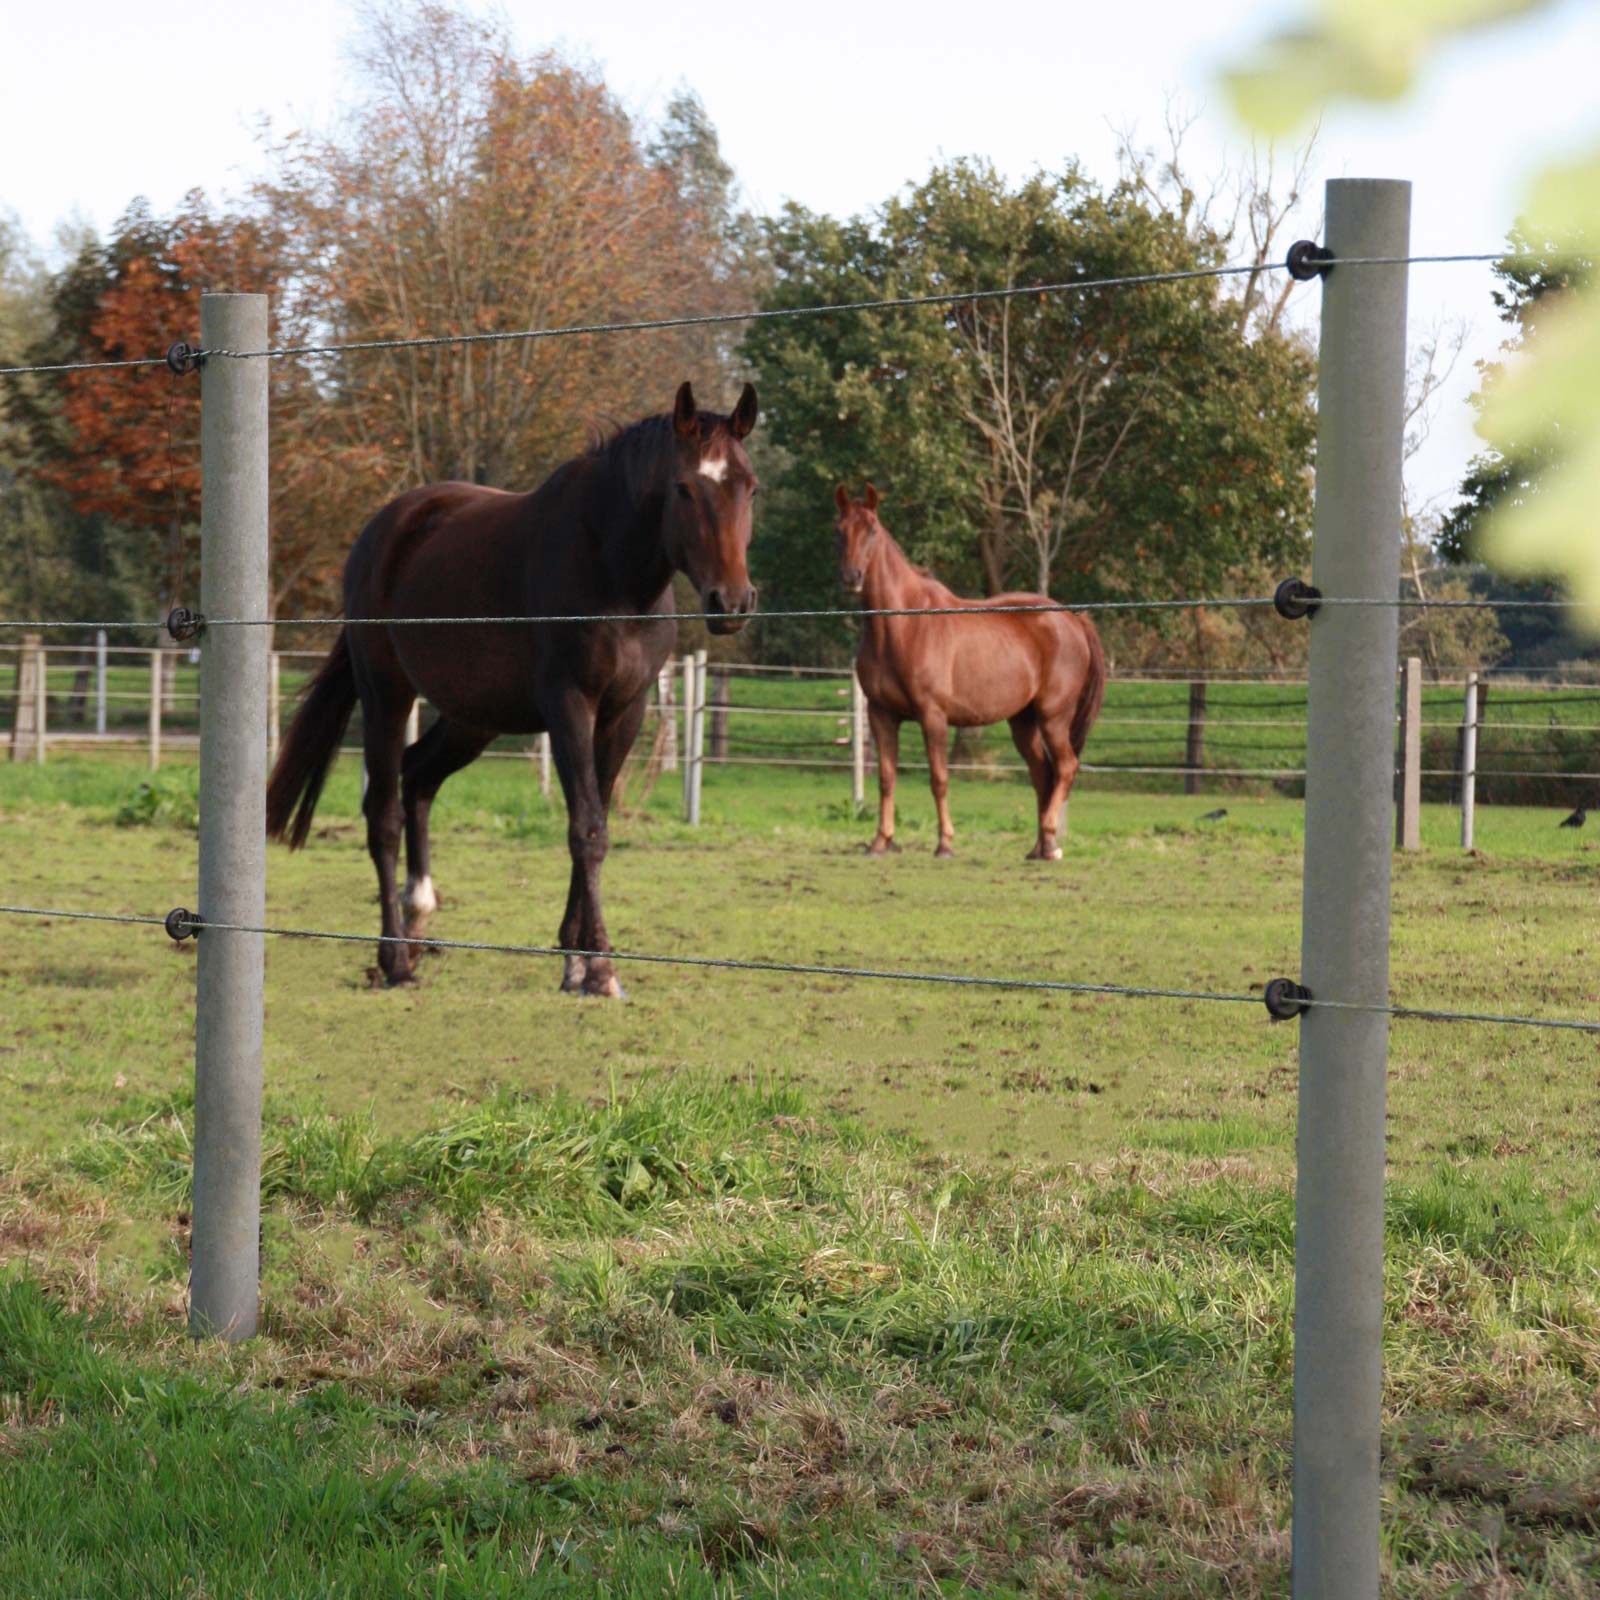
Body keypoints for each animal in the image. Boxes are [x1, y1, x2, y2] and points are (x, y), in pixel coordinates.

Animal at [265, 380, 758, 992]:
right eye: (685, 488)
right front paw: (600, 968)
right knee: (383, 813)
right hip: (386, 694)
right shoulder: (569, 706)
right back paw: (395, 959)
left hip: (471, 718)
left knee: (418, 777)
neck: (612, 571)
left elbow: (595, 819)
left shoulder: (625, 712)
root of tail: (382, 531)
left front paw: (574, 959)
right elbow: (587, 828)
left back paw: (419, 912)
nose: (731, 602)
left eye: (749, 487)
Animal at [832, 483, 1107, 864]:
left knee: (1065, 767)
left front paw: (945, 843)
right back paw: (1039, 847)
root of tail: (1073, 619)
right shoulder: (881, 714)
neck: (903, 626)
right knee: (1042, 774)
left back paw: (1051, 843)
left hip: (1054, 716)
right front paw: (880, 842)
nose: (851, 577)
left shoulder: (932, 715)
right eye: (839, 530)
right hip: (1023, 721)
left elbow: (939, 778)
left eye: (872, 529)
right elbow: (886, 778)